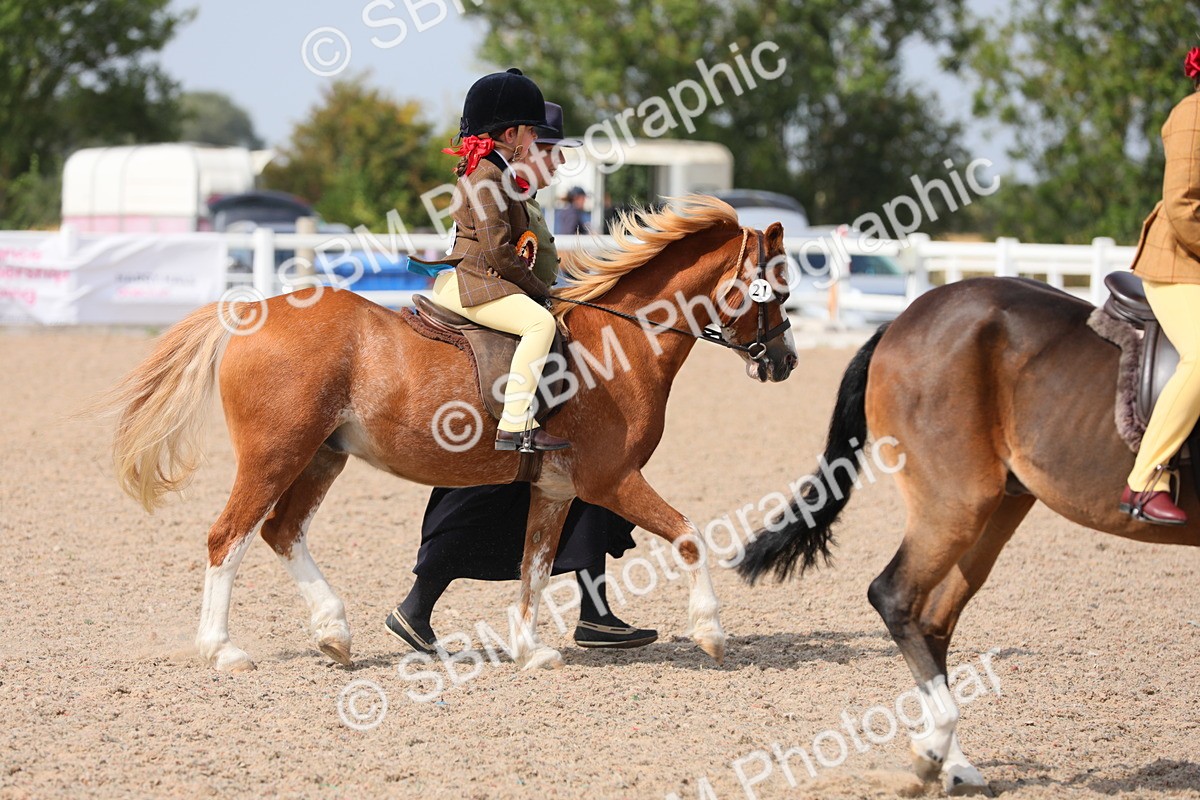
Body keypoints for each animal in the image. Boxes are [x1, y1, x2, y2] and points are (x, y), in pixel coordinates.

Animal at [100, 195, 797, 673]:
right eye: (777, 290)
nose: (785, 362)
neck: (619, 342)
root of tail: (251, 311)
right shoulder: (611, 480)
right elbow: (688, 535)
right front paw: (711, 632)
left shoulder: (556, 488)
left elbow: (535, 566)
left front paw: (531, 651)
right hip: (275, 455)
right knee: (229, 538)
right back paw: (222, 649)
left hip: (322, 458)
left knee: (281, 533)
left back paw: (335, 632)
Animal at [737, 276, 1200, 796]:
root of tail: (904, 318)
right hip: (958, 503)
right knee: (893, 595)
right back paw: (932, 750)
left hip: (997, 506)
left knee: (932, 618)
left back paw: (953, 763)